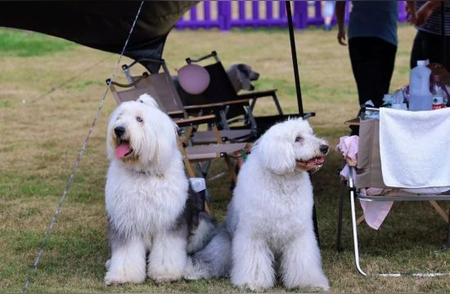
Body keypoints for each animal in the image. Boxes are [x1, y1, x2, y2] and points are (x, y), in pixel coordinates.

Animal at [104, 94, 189, 284]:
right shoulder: (127, 221)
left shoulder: (167, 220)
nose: (118, 130)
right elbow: (127, 252)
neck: (143, 173)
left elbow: (167, 249)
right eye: (119, 116)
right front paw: (124, 275)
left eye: (139, 119)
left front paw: (166, 273)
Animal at [186, 117, 330, 292]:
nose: (324, 148)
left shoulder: (298, 234)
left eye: (311, 133)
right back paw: (194, 272)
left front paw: (309, 283)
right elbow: (255, 261)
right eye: (298, 139)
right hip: (223, 248)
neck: (283, 182)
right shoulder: (254, 234)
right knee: (210, 261)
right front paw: (252, 283)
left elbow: (302, 261)